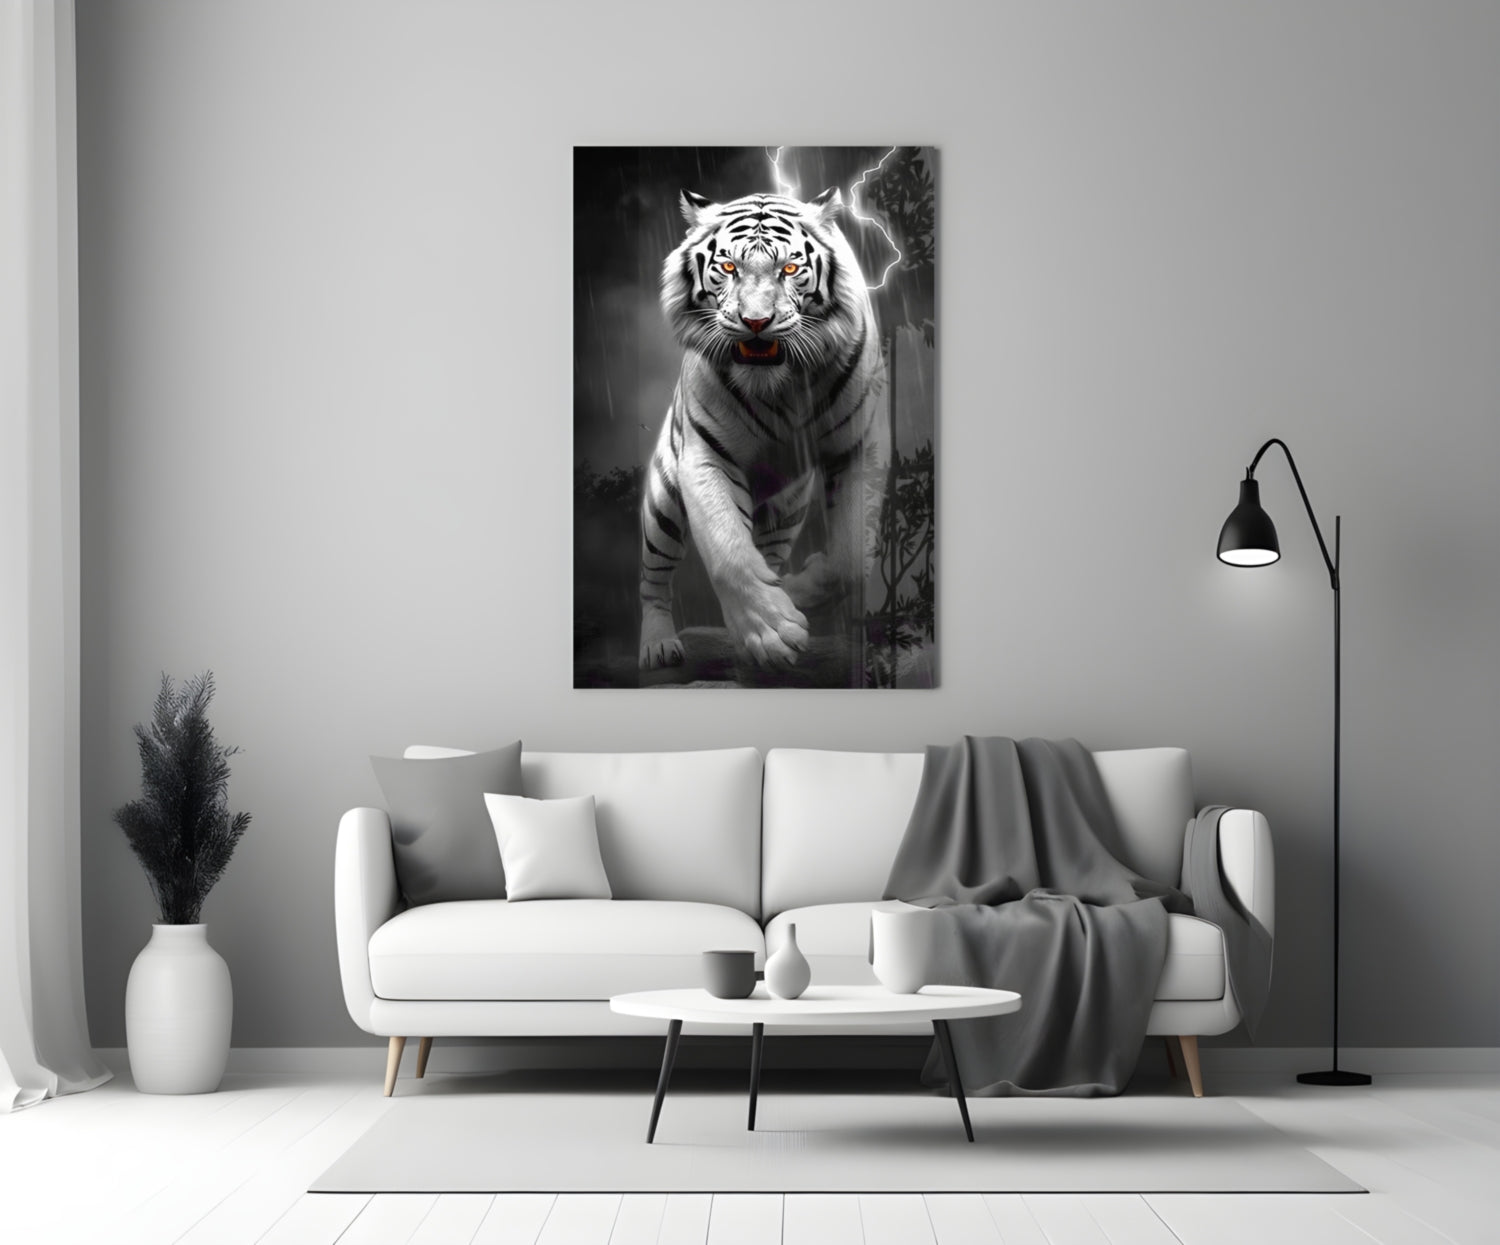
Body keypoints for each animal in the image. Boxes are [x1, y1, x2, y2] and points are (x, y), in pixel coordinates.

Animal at [638, 187, 886, 672]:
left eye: (789, 268)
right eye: (728, 267)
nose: (756, 322)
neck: (781, 383)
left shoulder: (857, 446)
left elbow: (850, 558)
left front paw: (795, 592)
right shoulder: (706, 455)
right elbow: (728, 549)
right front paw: (772, 634)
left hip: (787, 509)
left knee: (768, 552)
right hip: (662, 502)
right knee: (653, 580)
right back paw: (658, 645)